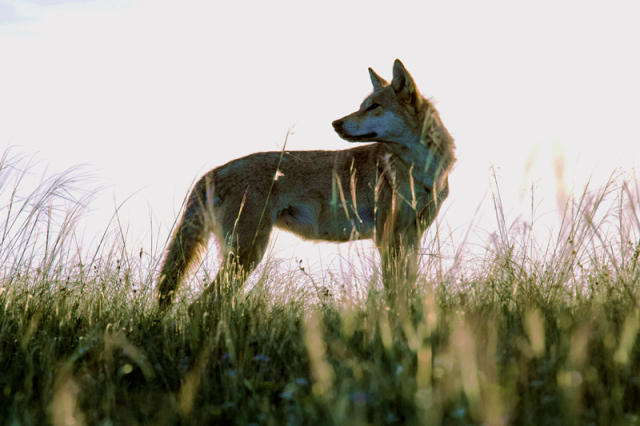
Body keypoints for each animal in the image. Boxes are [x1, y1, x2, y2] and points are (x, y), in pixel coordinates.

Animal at [159, 59, 456, 310]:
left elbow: (407, 288)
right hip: (247, 256)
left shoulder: (411, 237)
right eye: (363, 105)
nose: (336, 123)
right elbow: (394, 293)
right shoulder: (388, 238)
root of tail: (213, 172)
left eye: (373, 106)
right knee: (199, 305)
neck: (422, 170)